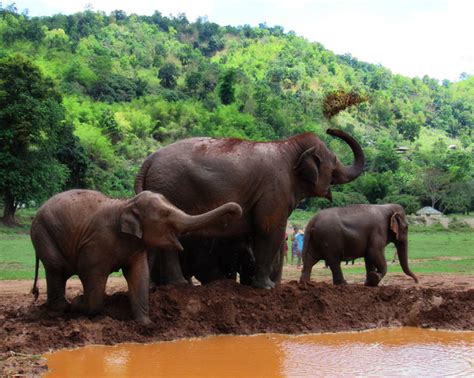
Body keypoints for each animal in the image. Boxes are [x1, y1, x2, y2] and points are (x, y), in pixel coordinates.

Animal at [31, 190, 243, 324]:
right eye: (165, 213)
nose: (237, 210)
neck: (126, 203)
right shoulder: (95, 243)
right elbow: (92, 276)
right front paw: (79, 302)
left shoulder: (136, 246)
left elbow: (139, 274)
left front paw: (145, 324)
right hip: (42, 232)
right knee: (56, 267)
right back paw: (62, 308)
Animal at [135, 128, 364, 288]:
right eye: (334, 161)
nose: (330, 129)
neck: (289, 146)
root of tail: (149, 160)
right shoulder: (274, 190)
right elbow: (269, 229)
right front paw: (267, 287)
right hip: (171, 189)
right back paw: (180, 285)